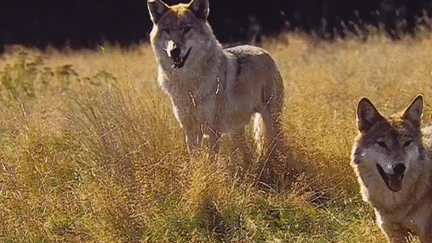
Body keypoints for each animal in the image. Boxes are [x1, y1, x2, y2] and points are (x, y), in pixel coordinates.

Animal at [147, 0, 286, 163]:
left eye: (186, 29)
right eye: (167, 30)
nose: (174, 51)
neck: (189, 82)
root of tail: (264, 51)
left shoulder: (214, 129)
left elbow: (212, 159)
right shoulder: (190, 130)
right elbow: (195, 159)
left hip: (272, 120)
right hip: (237, 129)